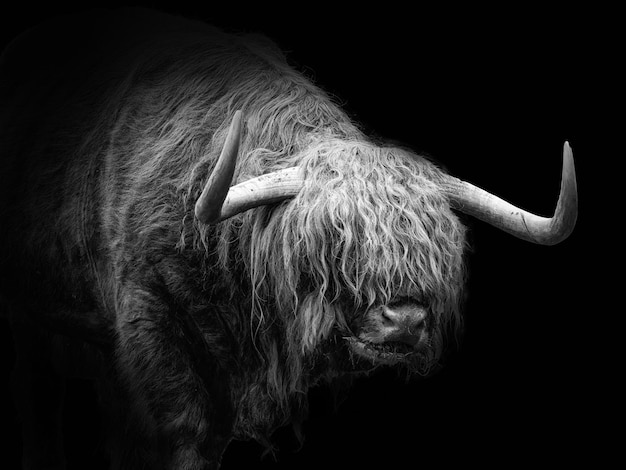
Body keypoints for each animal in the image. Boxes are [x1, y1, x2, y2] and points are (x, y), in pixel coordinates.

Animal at [0, 7, 576, 470]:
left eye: (437, 255)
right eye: (331, 244)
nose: (405, 320)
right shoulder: (148, 322)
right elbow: (182, 432)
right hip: (33, 325)